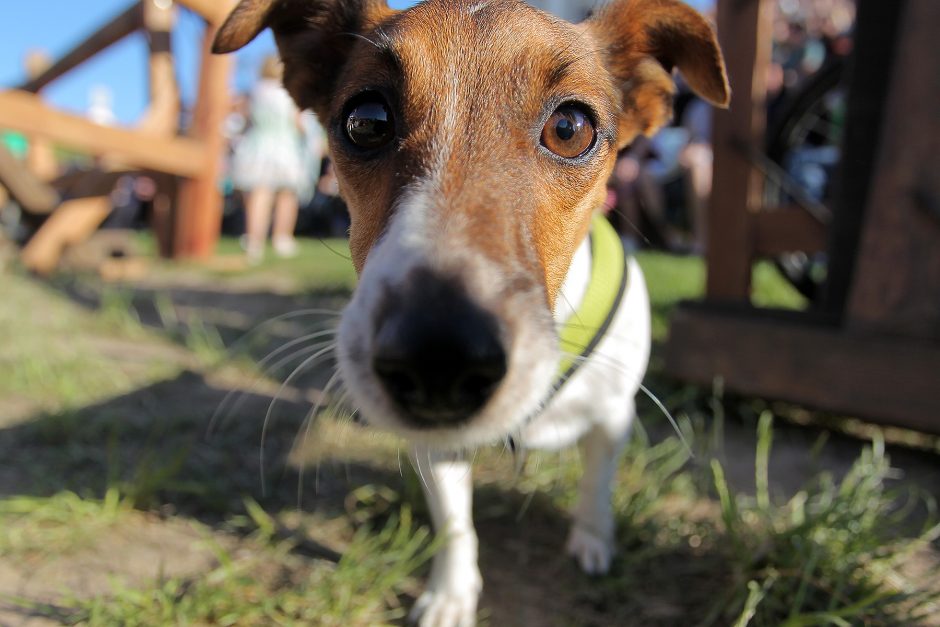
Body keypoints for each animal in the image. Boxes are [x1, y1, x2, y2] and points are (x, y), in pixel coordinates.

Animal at [213, 2, 728, 624]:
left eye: (571, 127)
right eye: (366, 120)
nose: (437, 358)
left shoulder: (612, 417)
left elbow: (596, 486)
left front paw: (593, 538)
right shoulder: (436, 449)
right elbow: (456, 527)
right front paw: (450, 594)